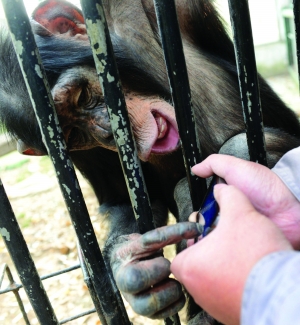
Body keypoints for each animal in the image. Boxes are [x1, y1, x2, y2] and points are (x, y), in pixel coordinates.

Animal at [0, 0, 300, 322]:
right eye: (72, 133)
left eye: (80, 97)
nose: (107, 131)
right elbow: (121, 200)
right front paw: (130, 266)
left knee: (237, 149)